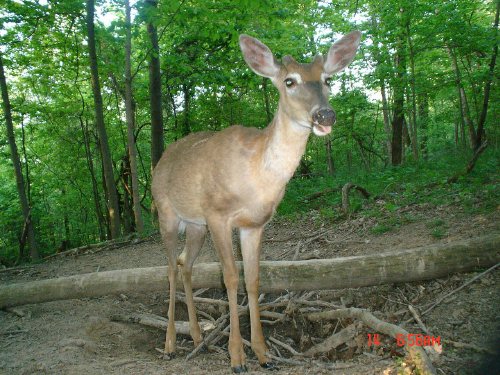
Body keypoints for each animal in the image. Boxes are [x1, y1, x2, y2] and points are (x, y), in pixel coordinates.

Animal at [150, 31, 362, 374]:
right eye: (289, 81)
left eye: (328, 79)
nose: (325, 114)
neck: (257, 176)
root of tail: (161, 161)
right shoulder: (218, 215)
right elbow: (230, 278)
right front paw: (237, 357)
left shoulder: (255, 224)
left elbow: (253, 279)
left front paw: (263, 354)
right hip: (166, 214)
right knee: (168, 268)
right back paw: (169, 344)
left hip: (195, 225)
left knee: (184, 263)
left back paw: (197, 337)